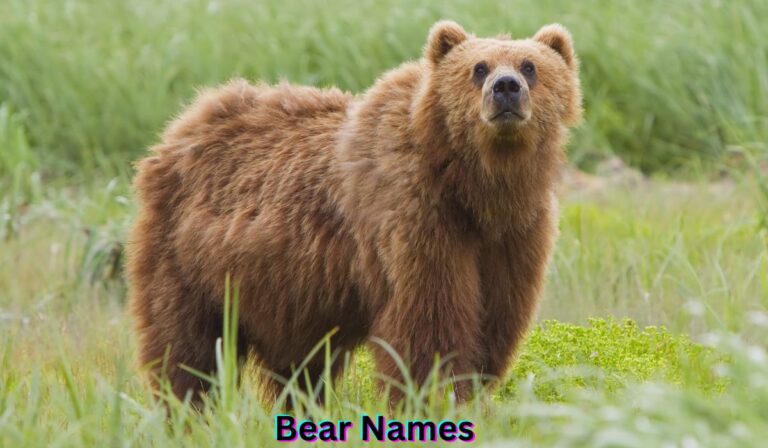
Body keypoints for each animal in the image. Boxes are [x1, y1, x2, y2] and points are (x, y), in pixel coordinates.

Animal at [126, 20, 582, 406]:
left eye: (530, 66)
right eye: (478, 67)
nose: (506, 87)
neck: (475, 188)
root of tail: (182, 125)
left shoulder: (514, 236)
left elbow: (494, 321)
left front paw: (472, 394)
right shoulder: (416, 218)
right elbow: (428, 326)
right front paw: (433, 398)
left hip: (286, 293)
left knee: (299, 368)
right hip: (188, 260)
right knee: (187, 349)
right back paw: (186, 411)